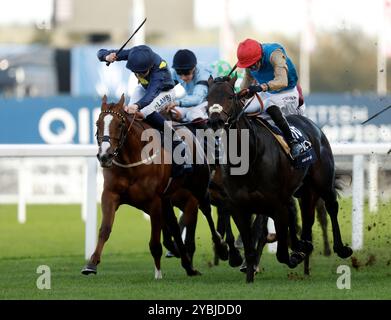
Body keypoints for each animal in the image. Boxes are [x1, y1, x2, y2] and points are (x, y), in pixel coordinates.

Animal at [81, 94, 228, 278]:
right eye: (97, 124)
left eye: (120, 124)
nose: (105, 156)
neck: (132, 162)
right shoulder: (110, 194)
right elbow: (105, 230)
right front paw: (91, 264)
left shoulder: (155, 201)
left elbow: (155, 241)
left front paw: (158, 272)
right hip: (169, 199)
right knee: (174, 226)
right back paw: (188, 264)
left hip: (198, 188)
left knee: (207, 211)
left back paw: (222, 249)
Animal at [208, 75, 356, 282]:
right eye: (207, 98)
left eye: (230, 96)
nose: (215, 122)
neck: (251, 154)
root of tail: (311, 124)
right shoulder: (238, 206)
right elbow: (249, 247)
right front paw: (248, 274)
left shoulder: (275, 204)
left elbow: (280, 252)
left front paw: (295, 253)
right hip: (303, 190)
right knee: (307, 215)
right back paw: (304, 247)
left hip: (323, 181)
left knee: (331, 207)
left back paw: (339, 248)